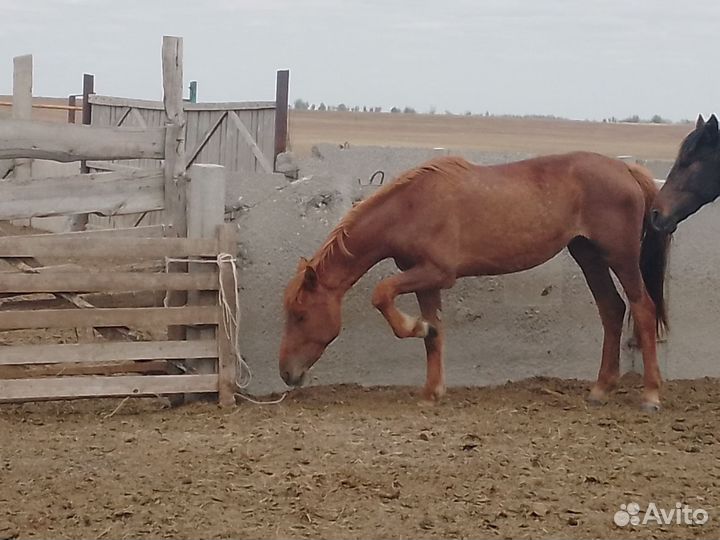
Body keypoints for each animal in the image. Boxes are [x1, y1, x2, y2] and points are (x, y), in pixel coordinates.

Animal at [280, 152, 670, 411]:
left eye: (300, 315)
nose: (286, 373)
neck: (411, 208)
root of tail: (626, 168)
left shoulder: (436, 273)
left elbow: (382, 294)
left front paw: (415, 327)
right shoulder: (426, 281)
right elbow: (434, 335)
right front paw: (432, 390)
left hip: (620, 258)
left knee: (643, 309)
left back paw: (651, 395)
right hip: (588, 256)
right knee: (612, 310)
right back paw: (601, 389)